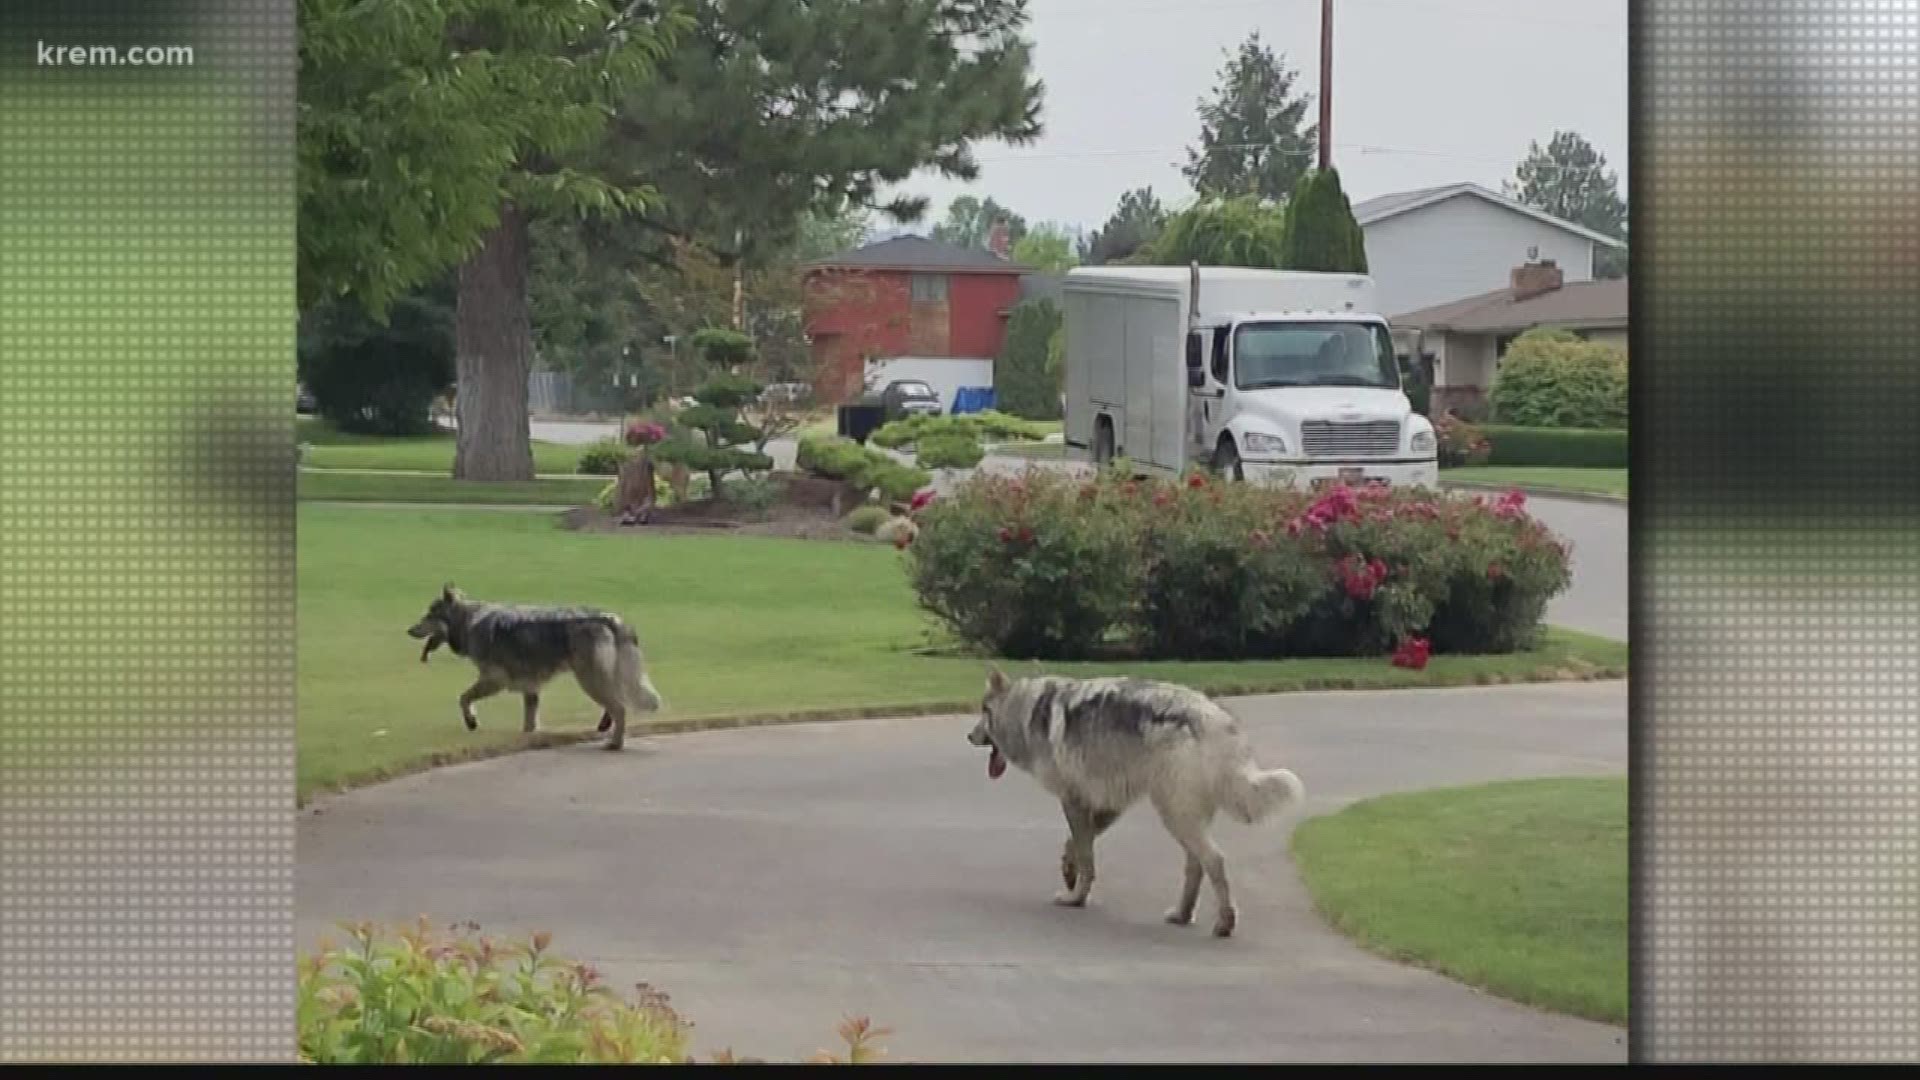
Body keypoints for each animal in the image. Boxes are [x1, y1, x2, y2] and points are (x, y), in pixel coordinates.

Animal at [403, 580, 660, 749]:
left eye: (429, 615)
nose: (409, 630)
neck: (468, 621)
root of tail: (609, 618)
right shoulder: (530, 688)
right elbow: (529, 720)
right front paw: (528, 738)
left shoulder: (494, 680)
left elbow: (463, 698)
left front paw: (472, 721)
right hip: (603, 675)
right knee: (616, 703)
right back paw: (606, 726)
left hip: (589, 677)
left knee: (620, 707)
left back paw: (615, 743)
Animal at [975, 664, 1305, 933]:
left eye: (983, 711)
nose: (969, 736)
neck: (1026, 708)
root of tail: (1214, 720)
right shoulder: (1108, 804)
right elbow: (1077, 847)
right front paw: (1069, 872)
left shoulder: (1074, 800)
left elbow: (1085, 854)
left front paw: (1075, 897)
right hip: (1184, 818)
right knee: (1195, 865)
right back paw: (1182, 915)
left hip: (1174, 815)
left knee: (1214, 860)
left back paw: (1224, 922)